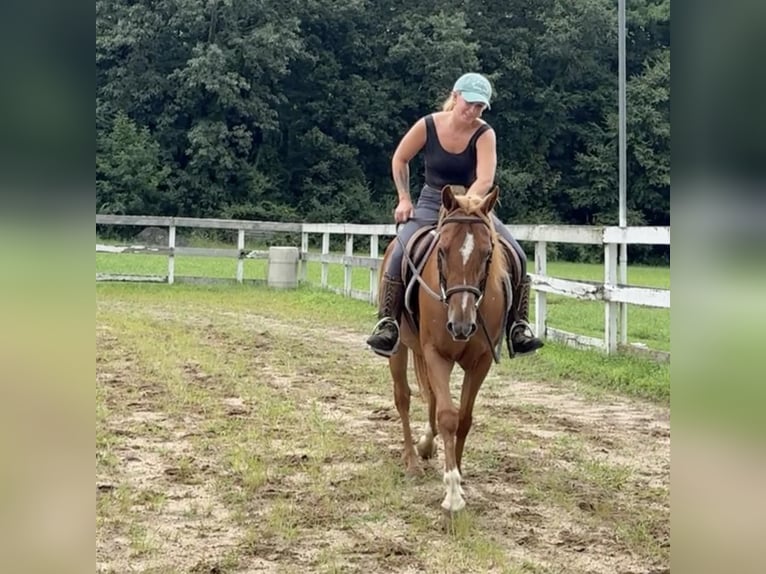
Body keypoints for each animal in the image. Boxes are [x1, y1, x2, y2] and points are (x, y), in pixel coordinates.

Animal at [380, 184, 510, 512]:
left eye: (487, 253)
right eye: (441, 250)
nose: (461, 326)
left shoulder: (481, 362)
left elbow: (463, 417)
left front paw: (459, 475)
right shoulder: (436, 354)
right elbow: (448, 416)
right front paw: (452, 492)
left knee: (430, 399)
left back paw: (426, 446)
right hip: (400, 349)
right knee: (403, 397)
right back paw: (412, 461)